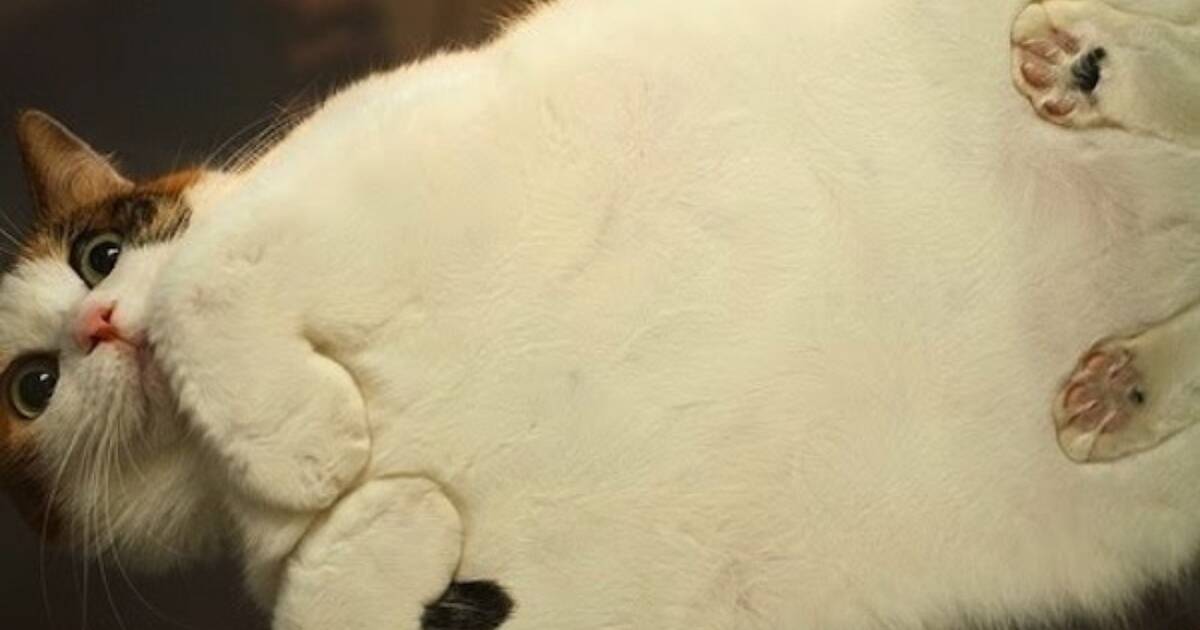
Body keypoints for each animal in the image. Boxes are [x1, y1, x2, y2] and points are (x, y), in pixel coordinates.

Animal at [7, 0, 1200, 624]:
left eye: (102, 253)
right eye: (35, 387)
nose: (100, 326)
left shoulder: (352, 181)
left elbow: (202, 288)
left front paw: (314, 453)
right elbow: (324, 601)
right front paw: (384, 517)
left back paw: (1090, 78)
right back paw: (1123, 378)